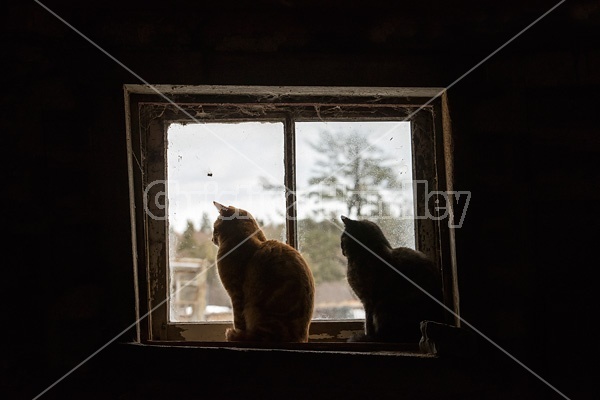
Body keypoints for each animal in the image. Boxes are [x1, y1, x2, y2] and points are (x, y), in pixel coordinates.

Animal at [211, 202, 316, 342]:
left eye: (214, 227)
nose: (211, 238)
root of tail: (300, 339)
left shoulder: (236, 293)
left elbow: (238, 320)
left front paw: (236, 334)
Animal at [340, 216, 442, 344]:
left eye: (342, 238)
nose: (341, 249)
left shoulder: (368, 300)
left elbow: (368, 322)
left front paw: (368, 337)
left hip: (384, 307)